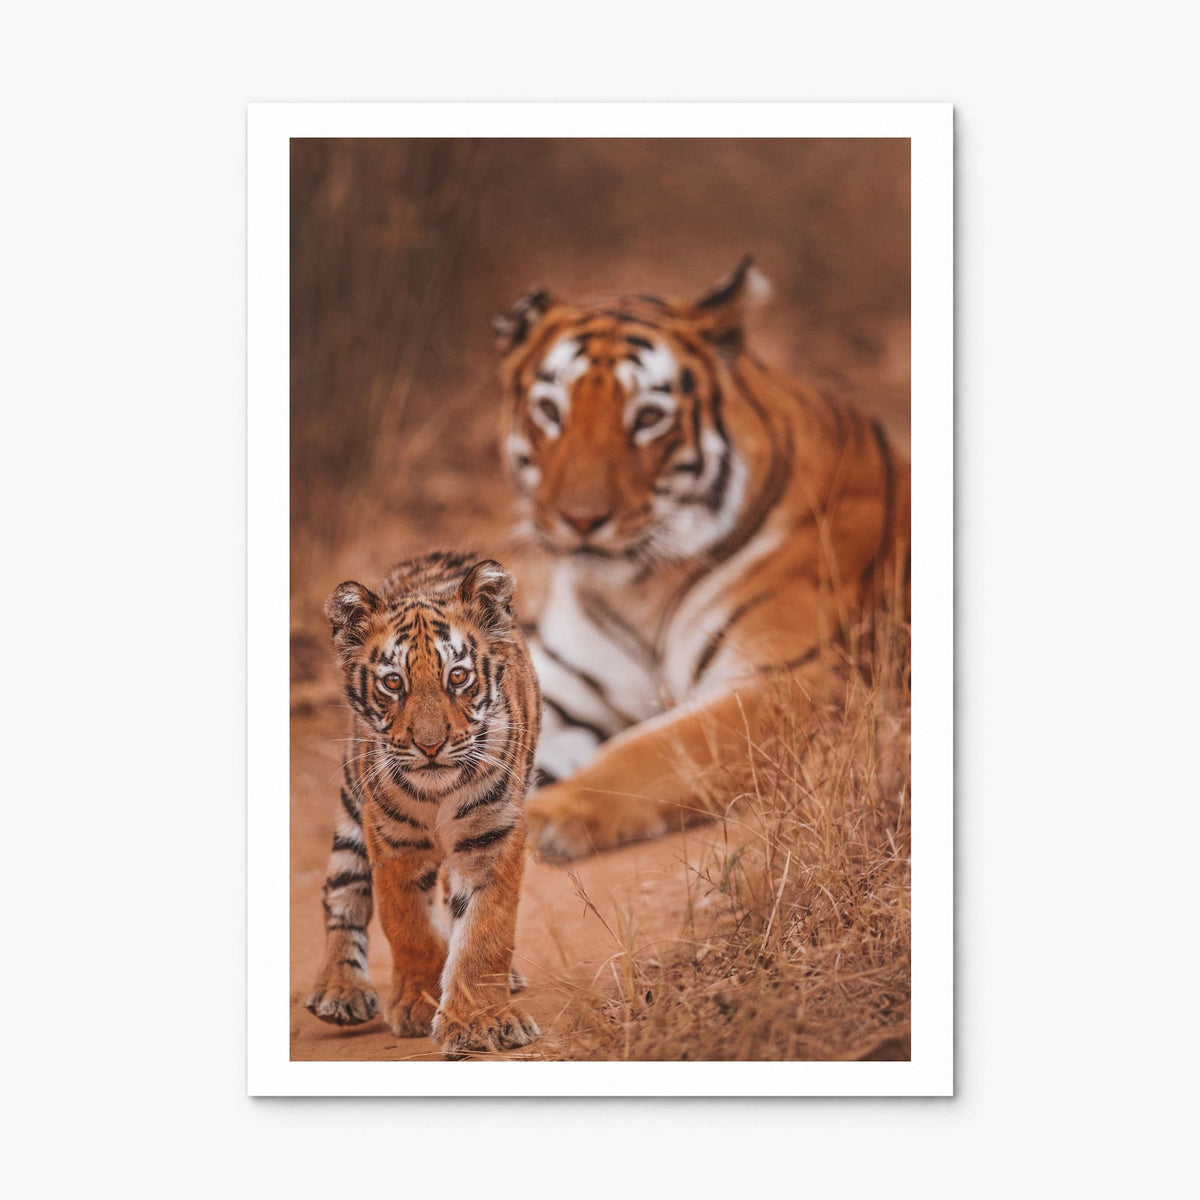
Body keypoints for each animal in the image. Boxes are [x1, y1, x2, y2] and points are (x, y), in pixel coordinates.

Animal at [305, 552, 542, 1057]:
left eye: (458, 676)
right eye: (393, 683)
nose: (430, 746)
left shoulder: (492, 837)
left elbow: (486, 931)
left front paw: (480, 1020)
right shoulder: (393, 843)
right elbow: (408, 925)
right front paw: (419, 1003)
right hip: (353, 802)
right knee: (342, 890)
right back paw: (340, 990)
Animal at [494, 256, 910, 860]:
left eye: (647, 418)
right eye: (550, 411)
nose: (581, 519)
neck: (638, 588)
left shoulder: (790, 684)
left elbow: (655, 749)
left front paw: (553, 814)